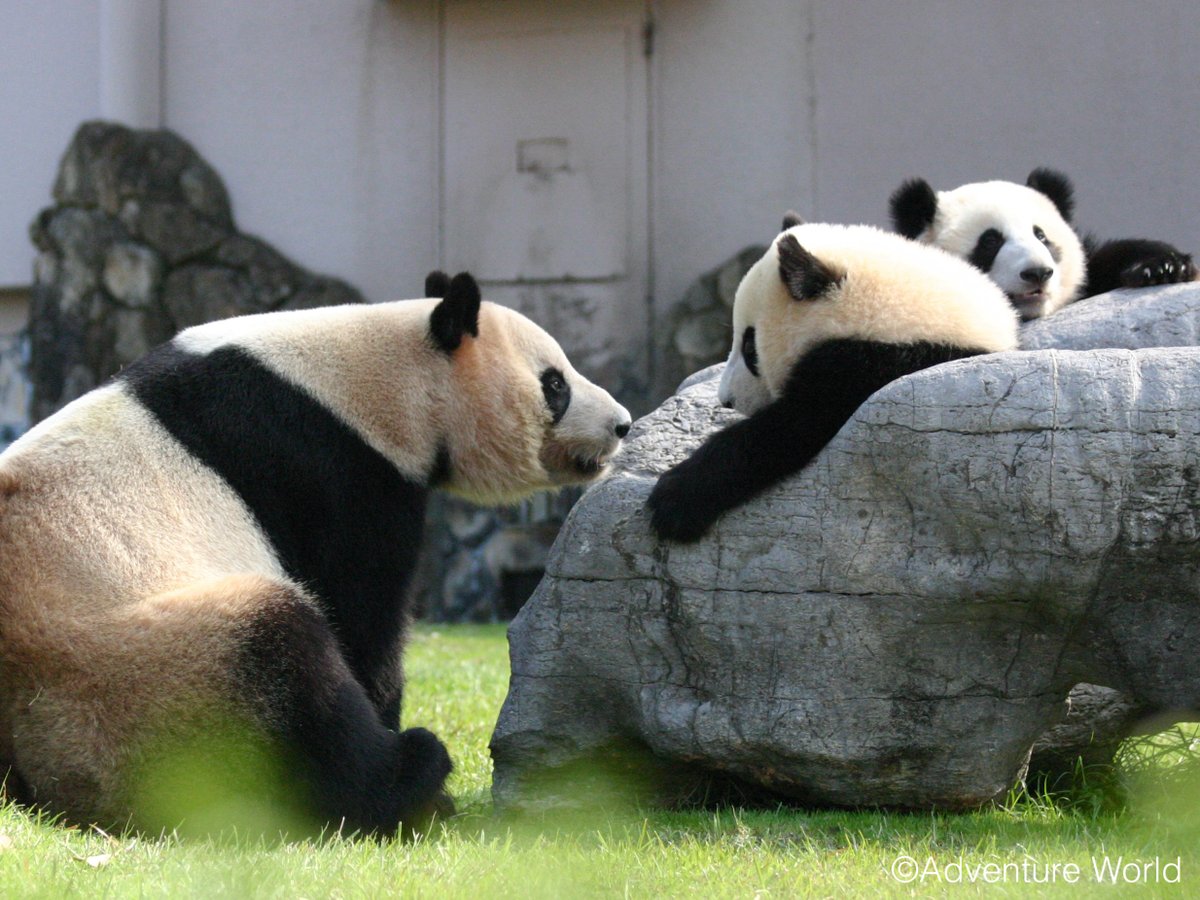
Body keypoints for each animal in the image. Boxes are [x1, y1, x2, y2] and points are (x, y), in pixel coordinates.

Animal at [0, 271, 630, 837]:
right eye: (555, 384)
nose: (622, 424)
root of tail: (51, 773)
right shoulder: (327, 468)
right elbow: (359, 617)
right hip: (135, 670)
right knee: (287, 671)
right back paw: (408, 777)